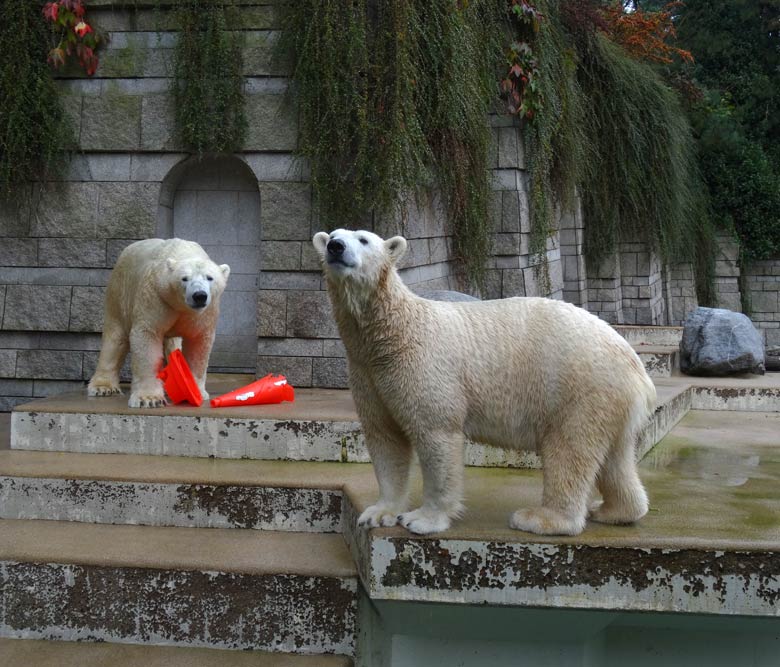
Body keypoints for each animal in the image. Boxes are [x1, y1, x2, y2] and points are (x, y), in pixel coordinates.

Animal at [88, 237, 230, 410]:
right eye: (184, 278)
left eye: (209, 277)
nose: (199, 296)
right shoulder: (156, 297)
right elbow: (147, 336)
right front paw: (149, 399)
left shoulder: (205, 312)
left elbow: (198, 343)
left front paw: (196, 391)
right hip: (119, 292)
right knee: (115, 338)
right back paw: (103, 387)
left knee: (173, 345)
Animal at [314, 230, 656, 536]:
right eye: (332, 234)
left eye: (363, 239)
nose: (335, 246)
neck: (395, 332)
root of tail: (635, 366)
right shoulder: (368, 373)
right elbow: (384, 438)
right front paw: (378, 512)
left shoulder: (423, 368)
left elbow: (436, 435)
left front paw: (422, 519)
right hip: (608, 401)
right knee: (615, 458)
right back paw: (613, 511)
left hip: (578, 387)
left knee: (569, 450)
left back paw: (540, 518)